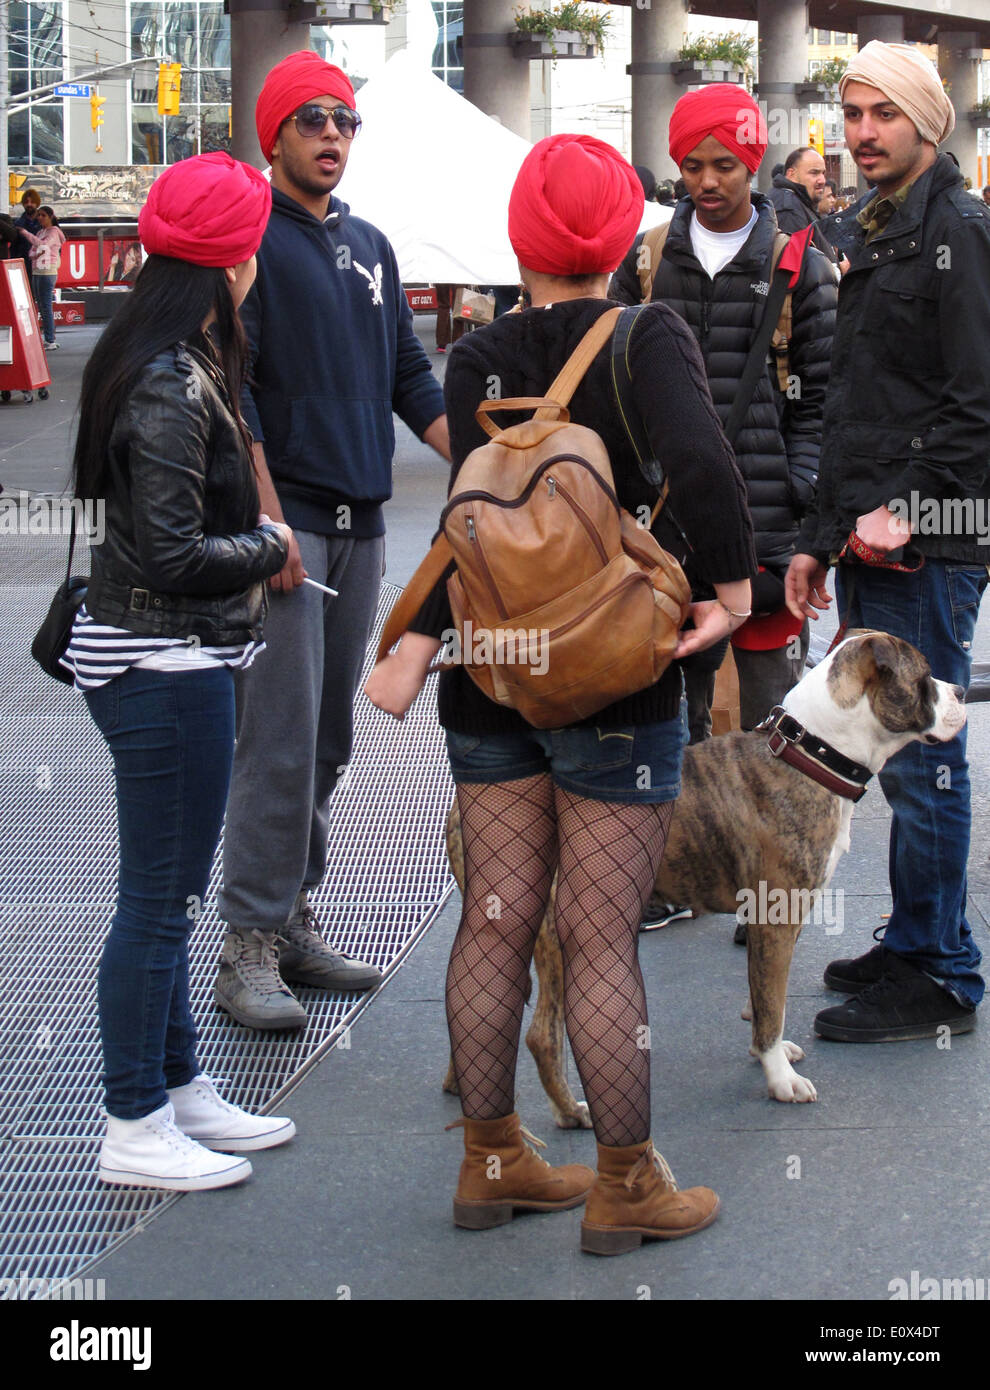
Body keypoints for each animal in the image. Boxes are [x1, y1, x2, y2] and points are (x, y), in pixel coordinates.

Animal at [442, 633, 967, 1117]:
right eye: (925, 677)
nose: (961, 689)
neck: (813, 753)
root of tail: (458, 811)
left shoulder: (772, 922)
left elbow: (764, 997)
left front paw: (766, 1051)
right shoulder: (777, 917)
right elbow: (772, 1003)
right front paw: (779, 1076)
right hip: (556, 930)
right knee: (542, 1035)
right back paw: (572, 1114)